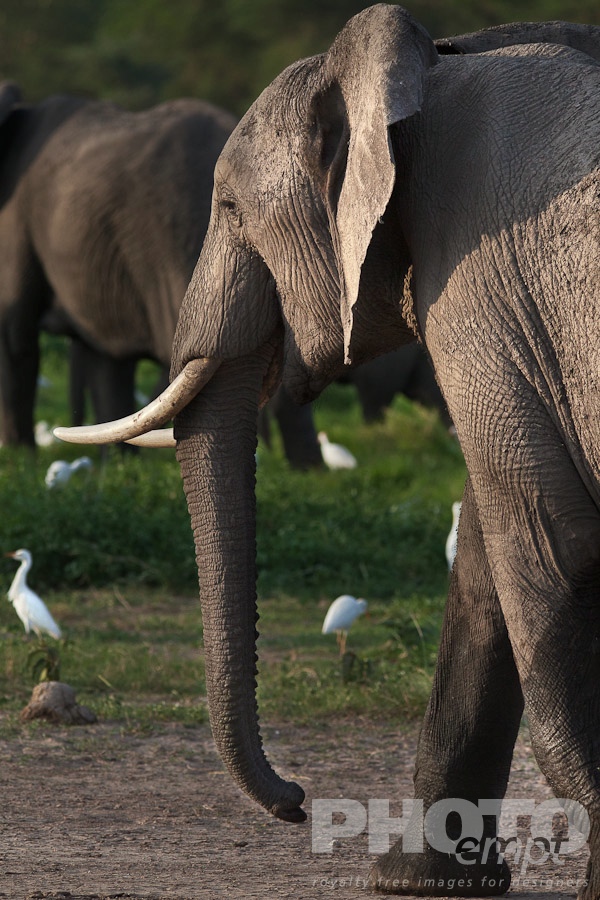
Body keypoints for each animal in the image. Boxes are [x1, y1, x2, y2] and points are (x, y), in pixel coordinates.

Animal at [56, 7, 600, 899]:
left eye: (229, 205)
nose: (296, 800)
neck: (432, 66)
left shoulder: (483, 286)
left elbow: (545, 541)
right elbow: (482, 563)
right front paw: (415, 880)